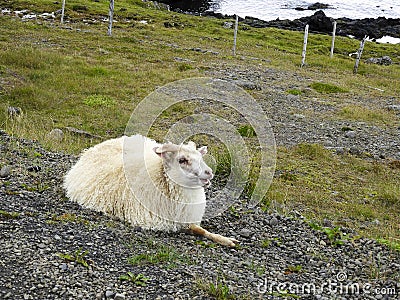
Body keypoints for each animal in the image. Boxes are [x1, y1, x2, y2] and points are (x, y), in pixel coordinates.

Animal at [63, 135, 238, 247]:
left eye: (201, 158)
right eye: (182, 160)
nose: (209, 172)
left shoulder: (185, 218)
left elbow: (201, 230)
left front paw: (226, 239)